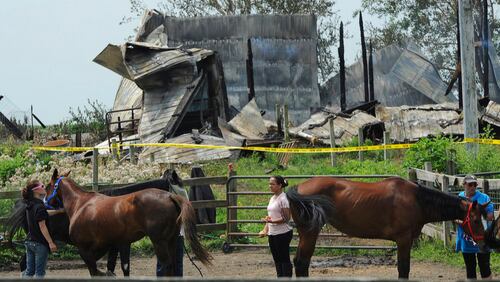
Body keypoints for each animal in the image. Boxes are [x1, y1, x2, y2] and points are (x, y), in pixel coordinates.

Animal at [43, 169, 213, 276]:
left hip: (159, 241)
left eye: (46, 186)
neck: (81, 204)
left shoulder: (85, 249)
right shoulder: (112, 245)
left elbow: (96, 271)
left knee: (167, 265)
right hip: (170, 241)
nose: (45, 202)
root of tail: (169, 196)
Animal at [288, 177, 490, 278]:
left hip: (305, 233)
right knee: (302, 263)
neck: (417, 200)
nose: (483, 244)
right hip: (310, 233)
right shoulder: (403, 240)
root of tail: (298, 187)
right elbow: (404, 269)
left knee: (298, 262)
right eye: (476, 220)